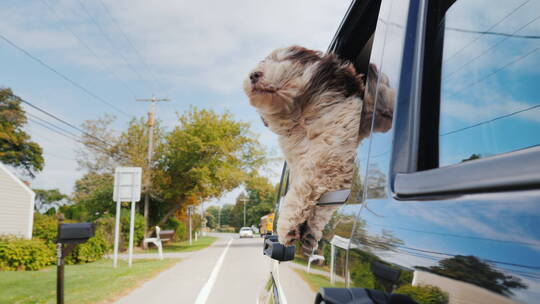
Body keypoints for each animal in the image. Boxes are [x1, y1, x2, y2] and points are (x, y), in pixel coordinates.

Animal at [244, 45, 392, 254]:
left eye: (283, 60)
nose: (253, 75)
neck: (302, 118)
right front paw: (308, 231)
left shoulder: (332, 157)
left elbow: (302, 188)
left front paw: (287, 226)